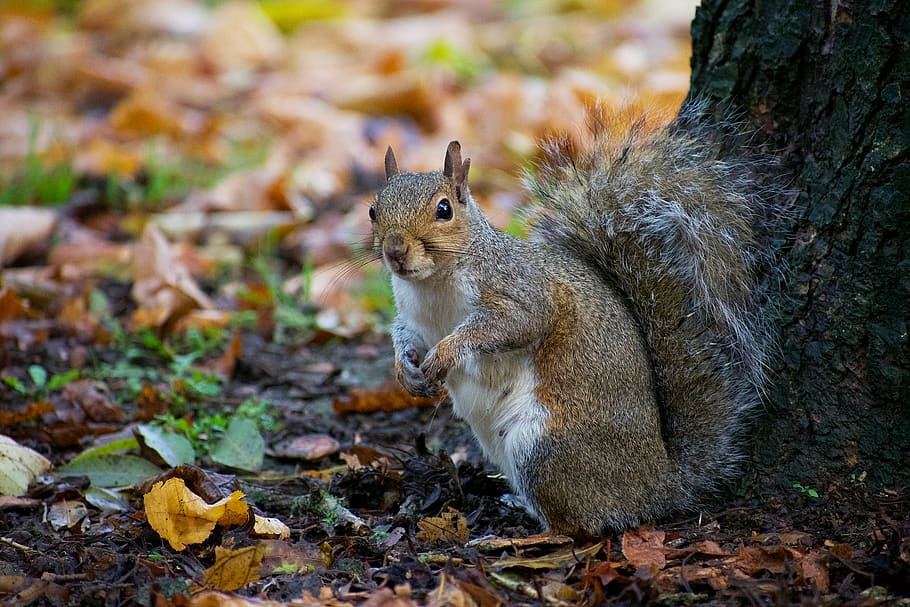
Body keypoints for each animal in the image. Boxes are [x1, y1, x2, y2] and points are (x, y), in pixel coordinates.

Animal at [369, 104, 776, 536]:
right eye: (373, 209)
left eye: (443, 210)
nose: (395, 250)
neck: (433, 284)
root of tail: (660, 485)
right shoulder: (412, 317)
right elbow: (404, 335)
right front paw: (405, 371)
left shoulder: (521, 290)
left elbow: (511, 324)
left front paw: (446, 352)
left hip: (544, 446)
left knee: (576, 527)